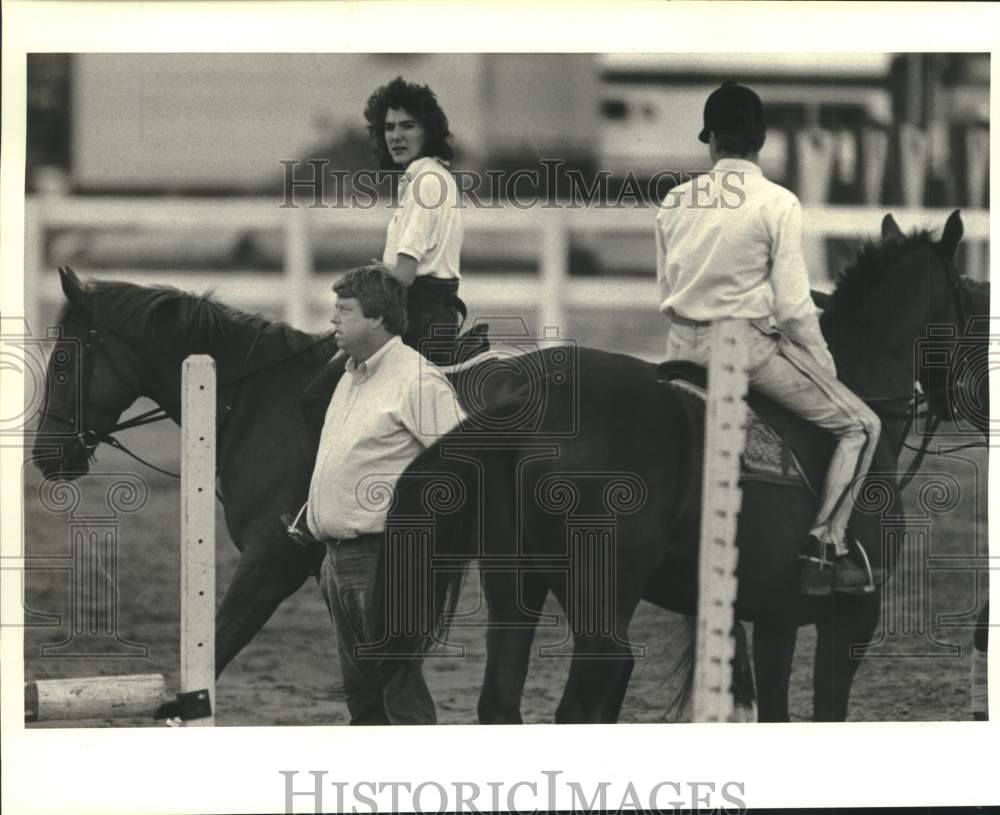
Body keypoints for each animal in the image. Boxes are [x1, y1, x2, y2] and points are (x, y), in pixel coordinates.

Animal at [372, 210, 988, 720]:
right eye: (972, 302)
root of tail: (528, 400)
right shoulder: (851, 615)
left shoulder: (776, 615)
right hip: (601, 613)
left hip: (515, 589)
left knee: (501, 700)